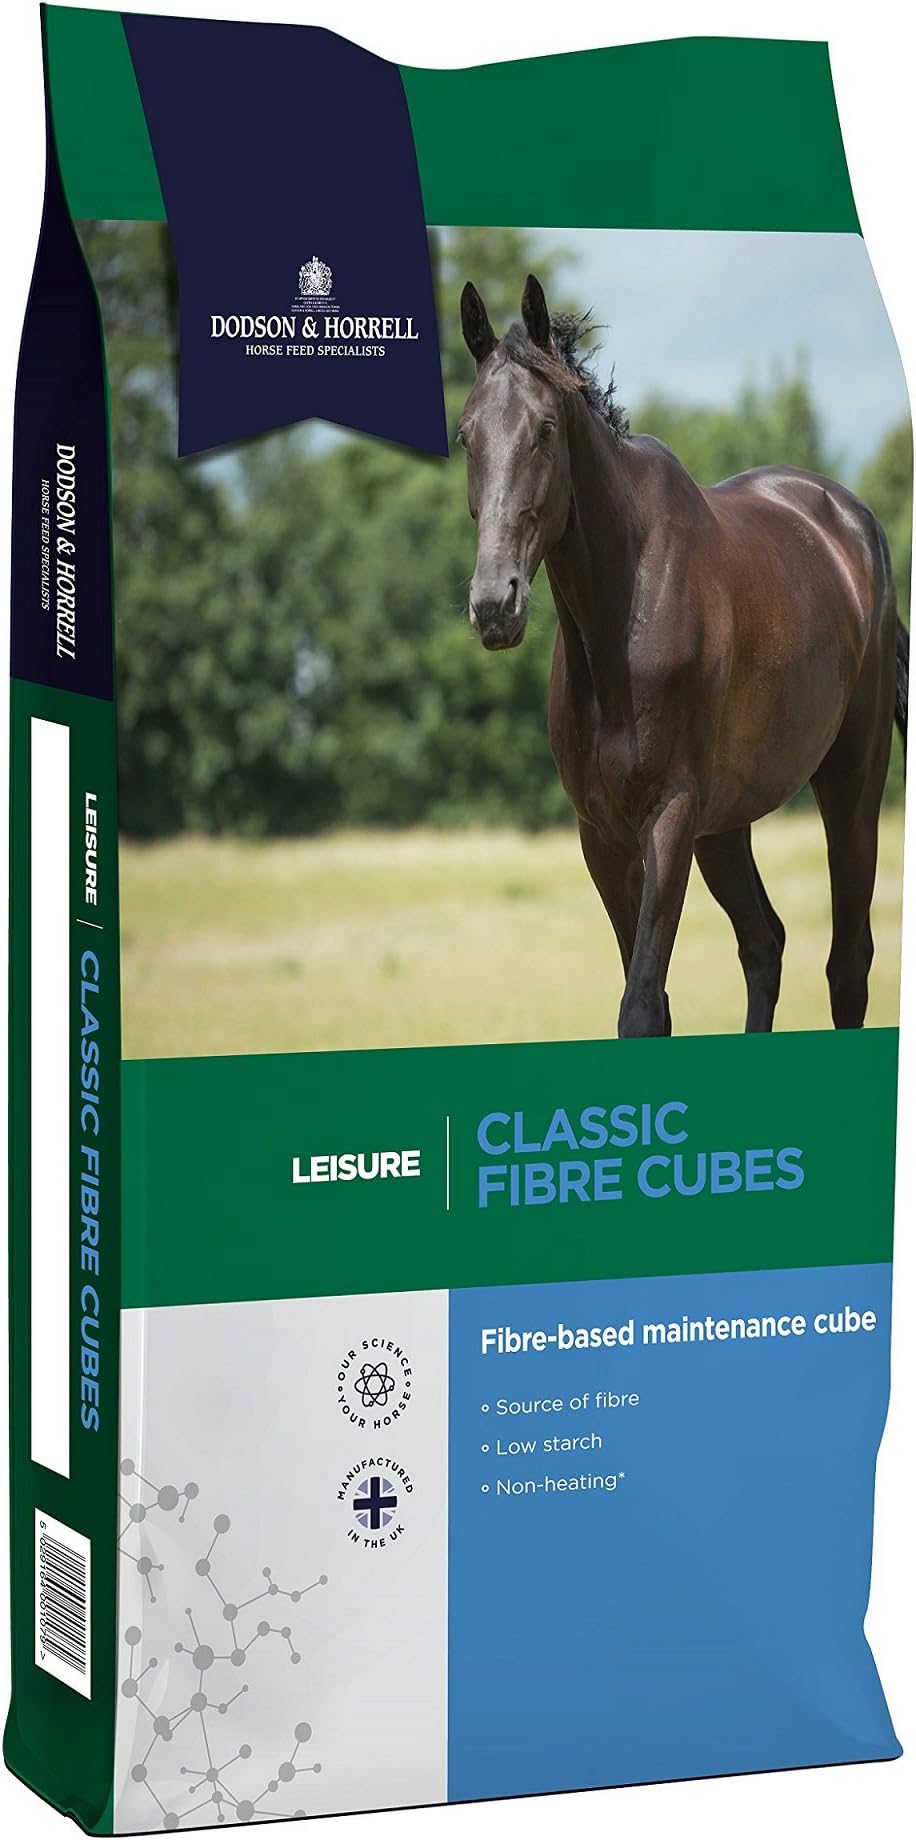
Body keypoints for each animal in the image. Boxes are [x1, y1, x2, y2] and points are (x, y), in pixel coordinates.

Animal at [459, 274, 907, 1038]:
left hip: (850, 786)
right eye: (466, 435)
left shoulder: (668, 816)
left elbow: (641, 1006)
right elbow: (655, 1003)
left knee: (847, 967)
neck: (621, 624)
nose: (495, 604)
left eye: (544, 430)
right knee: (764, 942)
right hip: (724, 825)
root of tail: (855, 528)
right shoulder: (602, 836)